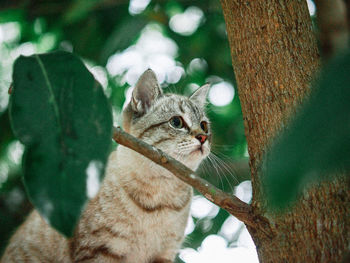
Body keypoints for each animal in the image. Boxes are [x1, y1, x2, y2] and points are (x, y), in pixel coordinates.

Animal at [1, 69, 212, 262]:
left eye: (204, 126)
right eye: (176, 122)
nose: (203, 138)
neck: (160, 192)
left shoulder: (164, 255)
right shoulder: (98, 249)